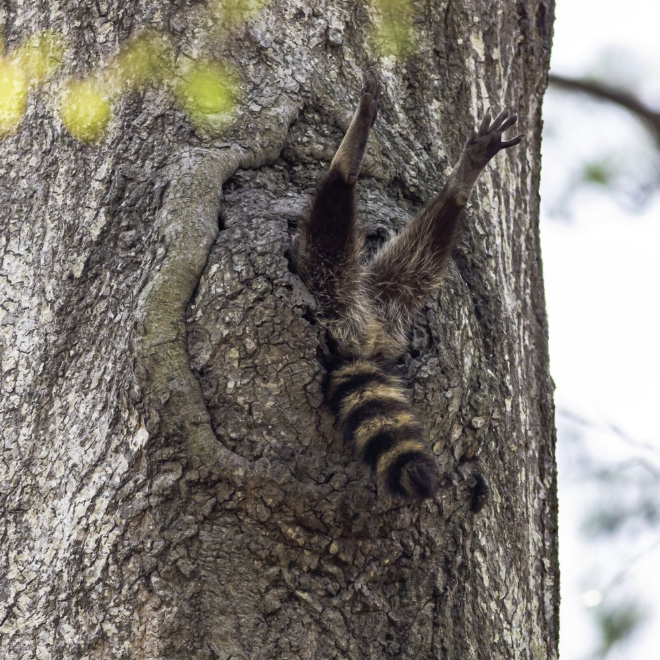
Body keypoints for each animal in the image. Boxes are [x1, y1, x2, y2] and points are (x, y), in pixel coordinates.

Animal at [294, 77, 520, 498]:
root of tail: (361, 339)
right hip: (387, 295)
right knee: (422, 254)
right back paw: (460, 184)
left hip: (333, 286)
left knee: (329, 228)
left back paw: (347, 162)